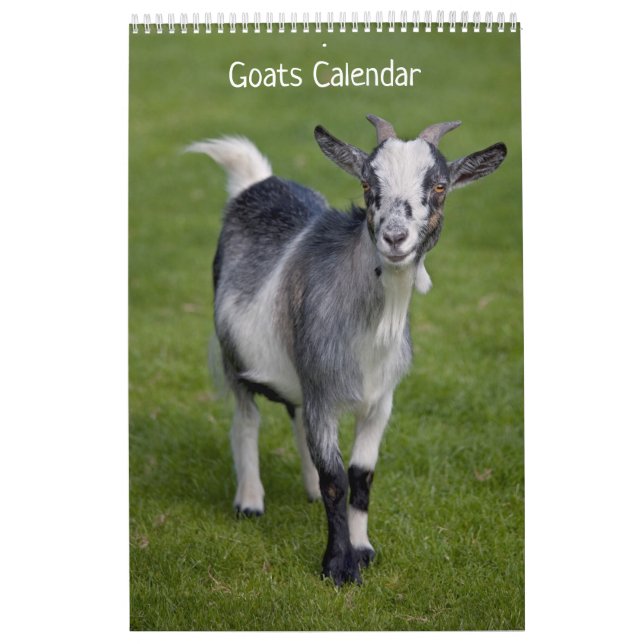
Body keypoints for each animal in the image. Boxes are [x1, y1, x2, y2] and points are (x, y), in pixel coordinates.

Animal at [187, 116, 507, 586]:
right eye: (367, 183)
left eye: (440, 186)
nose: (395, 237)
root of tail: (257, 182)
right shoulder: (323, 391)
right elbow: (336, 478)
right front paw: (338, 567)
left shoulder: (380, 400)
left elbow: (360, 476)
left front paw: (363, 548)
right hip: (236, 357)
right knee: (246, 419)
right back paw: (249, 500)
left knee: (296, 419)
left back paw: (306, 490)